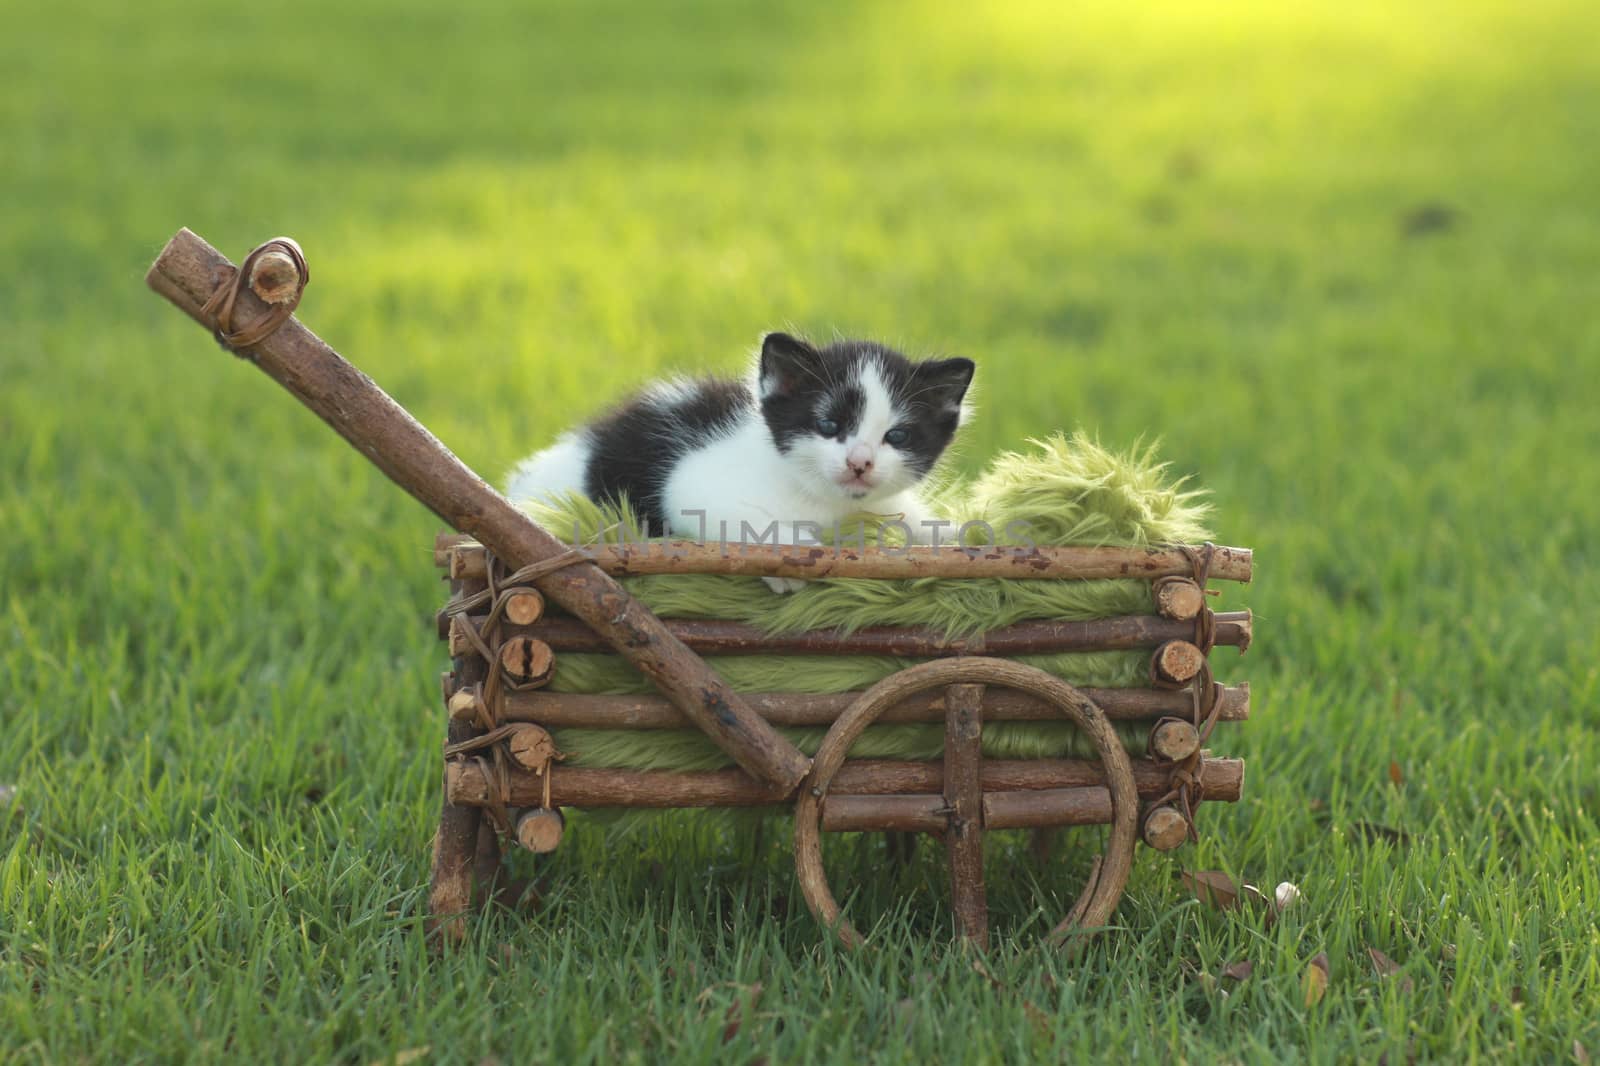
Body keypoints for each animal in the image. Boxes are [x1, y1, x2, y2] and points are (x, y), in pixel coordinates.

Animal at [505, 329, 972, 589]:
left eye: (896, 436)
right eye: (828, 425)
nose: (860, 463)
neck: (823, 502)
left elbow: (908, 516)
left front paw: (952, 532)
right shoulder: (690, 480)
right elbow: (733, 518)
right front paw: (791, 557)